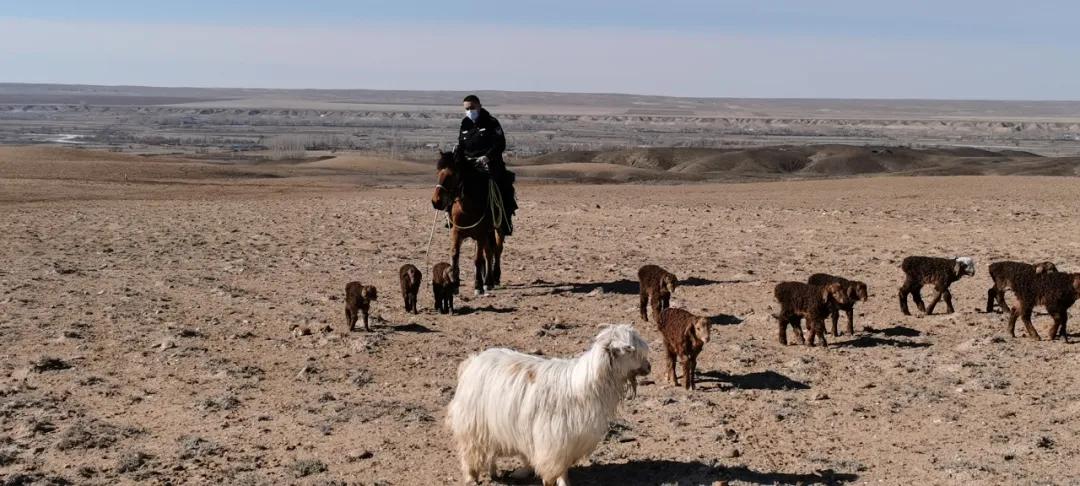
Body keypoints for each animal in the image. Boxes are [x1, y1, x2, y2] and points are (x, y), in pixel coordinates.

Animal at [432, 152, 503, 293]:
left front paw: (478, 285)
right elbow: (455, 255)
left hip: (498, 229)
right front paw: (455, 284)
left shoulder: (481, 234)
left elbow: (478, 259)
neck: (468, 208)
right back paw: (488, 280)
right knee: (489, 252)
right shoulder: (456, 231)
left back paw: (493, 279)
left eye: (452, 175)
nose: (436, 201)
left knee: (496, 250)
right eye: (438, 173)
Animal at [444, 321, 648, 486]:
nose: (649, 367)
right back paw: (472, 477)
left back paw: (497, 472)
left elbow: (563, 469)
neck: (584, 387)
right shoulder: (554, 441)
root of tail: (473, 361)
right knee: (471, 451)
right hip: (473, 423)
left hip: (493, 423)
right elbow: (554, 470)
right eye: (630, 351)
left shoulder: (567, 442)